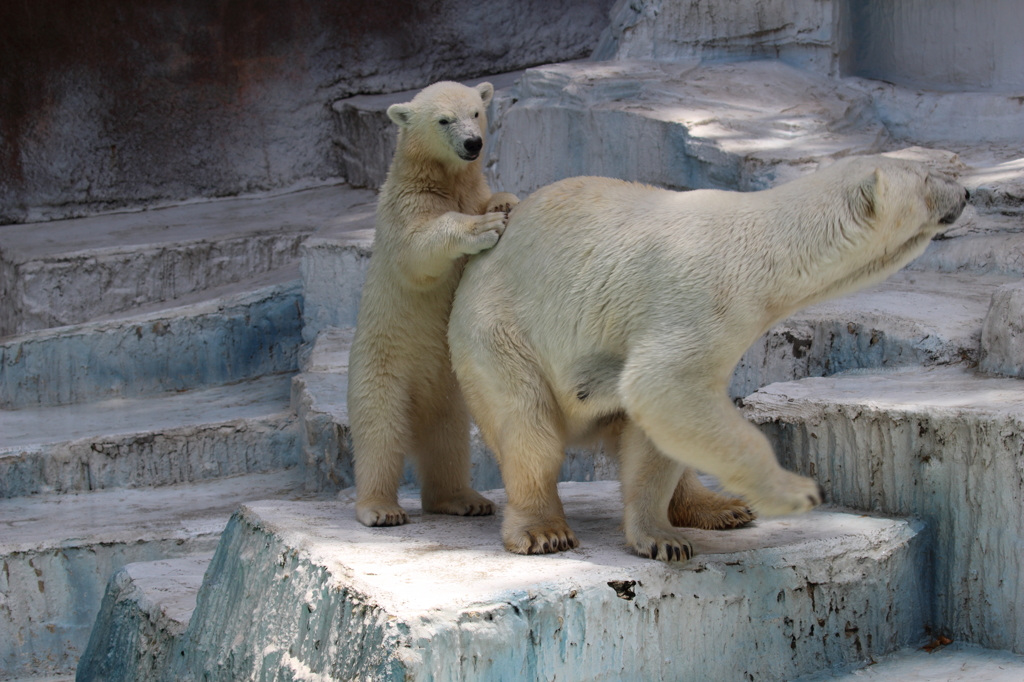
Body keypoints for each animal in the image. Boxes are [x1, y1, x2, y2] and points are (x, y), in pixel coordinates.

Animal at [450, 156, 966, 561]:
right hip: (499, 333)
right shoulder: (695, 298)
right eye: (926, 176)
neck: (763, 251)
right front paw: (797, 492)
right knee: (527, 423)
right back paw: (543, 529)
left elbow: (657, 424)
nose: (965, 191)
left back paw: (720, 507)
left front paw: (661, 537)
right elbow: (664, 388)